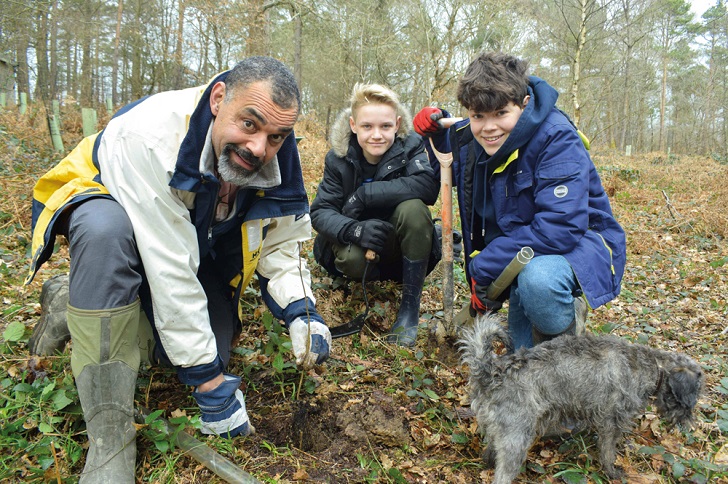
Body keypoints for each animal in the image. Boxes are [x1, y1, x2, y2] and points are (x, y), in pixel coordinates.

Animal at [460, 312, 704, 482]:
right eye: (689, 400)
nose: (689, 425)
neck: (651, 367)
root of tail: (492, 371)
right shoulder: (611, 423)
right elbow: (607, 451)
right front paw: (611, 472)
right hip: (517, 438)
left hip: (503, 431)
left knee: (491, 453)